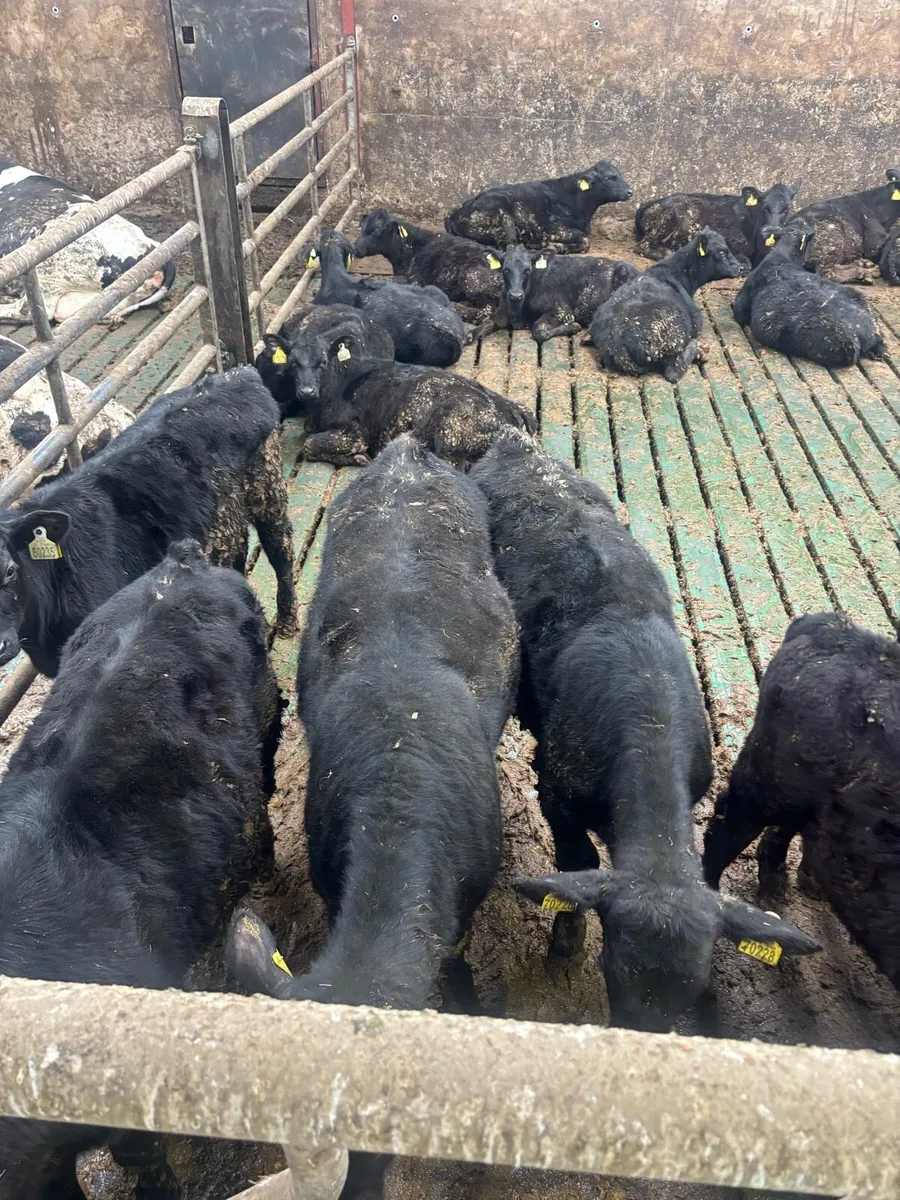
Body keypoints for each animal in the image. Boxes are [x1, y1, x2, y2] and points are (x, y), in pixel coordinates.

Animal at [352, 208, 503, 317]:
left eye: (376, 230)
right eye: (362, 228)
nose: (355, 249)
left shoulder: (415, 282)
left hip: (472, 279)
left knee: (485, 310)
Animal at [445, 160, 631, 253]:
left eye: (619, 174)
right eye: (610, 177)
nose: (630, 191)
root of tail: (457, 211)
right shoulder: (554, 229)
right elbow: (585, 241)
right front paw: (556, 246)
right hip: (503, 217)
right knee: (510, 245)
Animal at [470, 428, 819, 1031]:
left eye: (694, 987)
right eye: (612, 969)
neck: (650, 723)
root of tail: (516, 445)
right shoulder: (558, 795)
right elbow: (579, 865)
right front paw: (565, 942)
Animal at [474, 244, 638, 343]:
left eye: (527, 270)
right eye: (505, 270)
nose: (515, 295)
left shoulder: (561, 310)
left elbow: (539, 330)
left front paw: (574, 326)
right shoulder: (502, 310)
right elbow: (487, 321)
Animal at [634, 181, 802, 267]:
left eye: (787, 208)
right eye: (765, 207)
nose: (773, 230)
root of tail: (647, 205)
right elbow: (745, 263)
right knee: (643, 246)